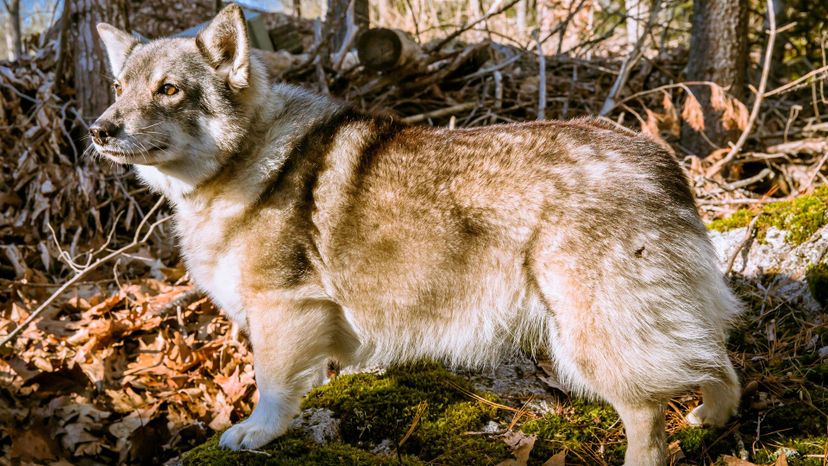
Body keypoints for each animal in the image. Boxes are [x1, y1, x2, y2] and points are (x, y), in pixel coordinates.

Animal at [94, 5, 740, 464]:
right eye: (119, 87)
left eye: (169, 90)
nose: (99, 130)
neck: (243, 159)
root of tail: (660, 161)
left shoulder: (283, 310)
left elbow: (273, 387)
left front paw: (257, 433)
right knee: (719, 364)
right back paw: (713, 419)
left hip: (593, 339)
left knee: (649, 423)